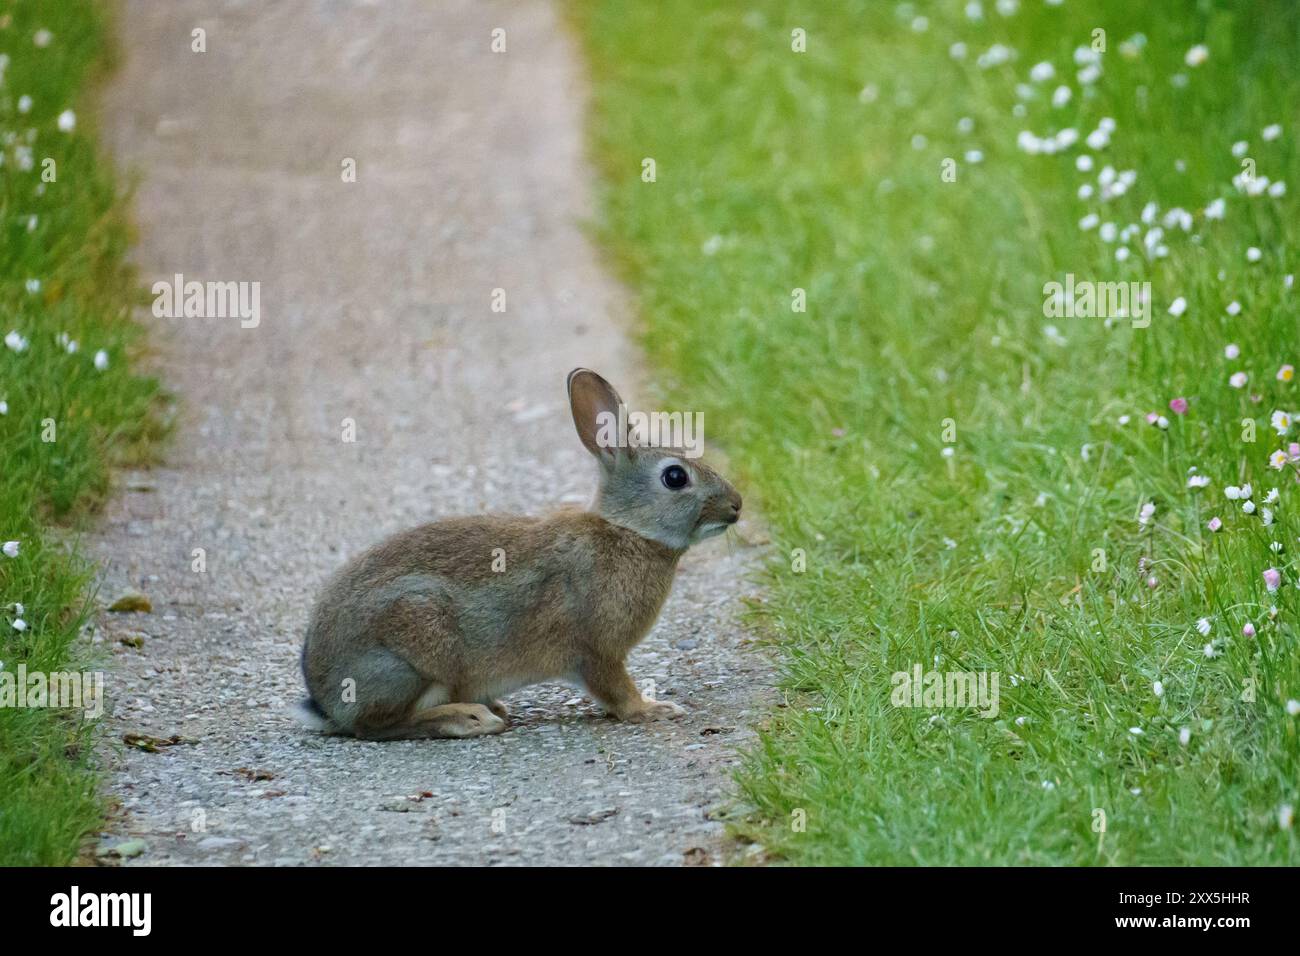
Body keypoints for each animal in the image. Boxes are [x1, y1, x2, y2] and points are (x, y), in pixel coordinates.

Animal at [296, 368, 742, 739]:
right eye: (675, 477)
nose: (737, 505)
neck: (628, 531)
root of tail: (325, 700)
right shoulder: (596, 648)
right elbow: (615, 689)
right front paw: (653, 709)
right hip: (413, 653)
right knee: (376, 726)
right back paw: (469, 718)